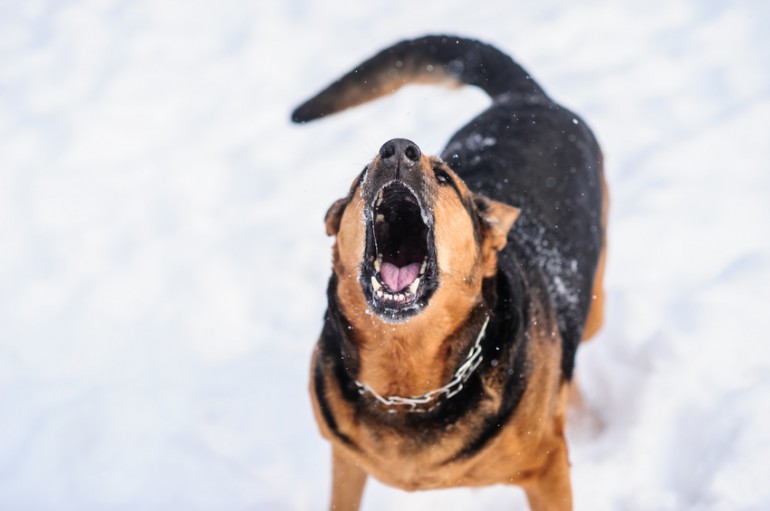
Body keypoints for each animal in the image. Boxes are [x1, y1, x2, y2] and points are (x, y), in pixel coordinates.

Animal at [290, 36, 608, 511]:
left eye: (443, 177)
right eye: (362, 176)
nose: (397, 148)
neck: (405, 381)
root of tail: (526, 98)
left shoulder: (548, 467)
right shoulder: (345, 459)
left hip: (595, 306)